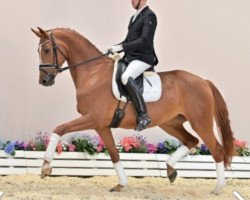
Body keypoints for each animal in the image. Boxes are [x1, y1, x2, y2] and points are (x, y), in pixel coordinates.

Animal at [31, 27, 234, 195]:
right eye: (38, 51)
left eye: (46, 50)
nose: (44, 81)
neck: (93, 74)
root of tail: (203, 81)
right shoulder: (102, 126)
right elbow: (114, 153)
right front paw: (121, 184)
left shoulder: (93, 118)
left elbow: (59, 129)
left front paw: (46, 167)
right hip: (171, 123)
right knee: (191, 140)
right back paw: (170, 170)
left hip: (200, 122)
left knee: (216, 149)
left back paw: (218, 188)